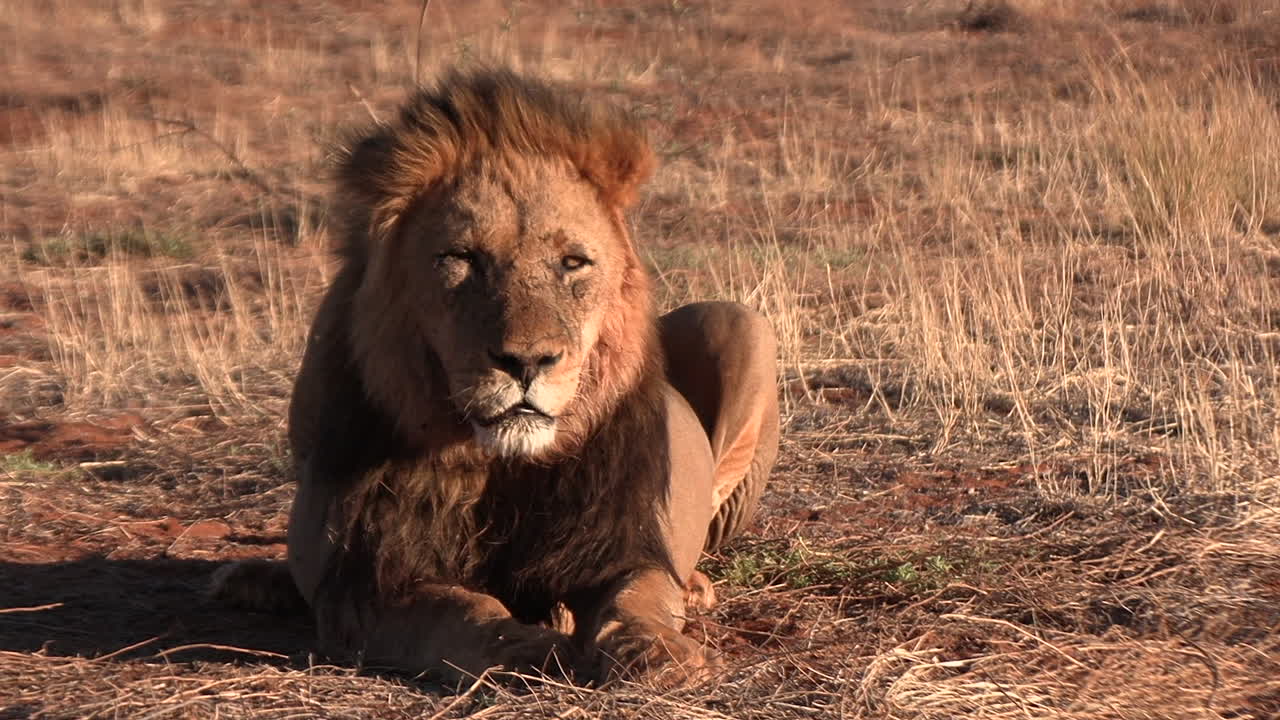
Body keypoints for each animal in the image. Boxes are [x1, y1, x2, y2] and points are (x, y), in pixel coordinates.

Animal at [215, 68, 779, 685]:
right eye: (462, 258)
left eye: (573, 263)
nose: (527, 362)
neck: (498, 465)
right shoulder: (371, 578)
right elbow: (460, 610)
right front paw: (527, 646)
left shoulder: (617, 545)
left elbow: (640, 596)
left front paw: (660, 651)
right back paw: (251, 580)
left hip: (741, 323)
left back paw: (695, 586)